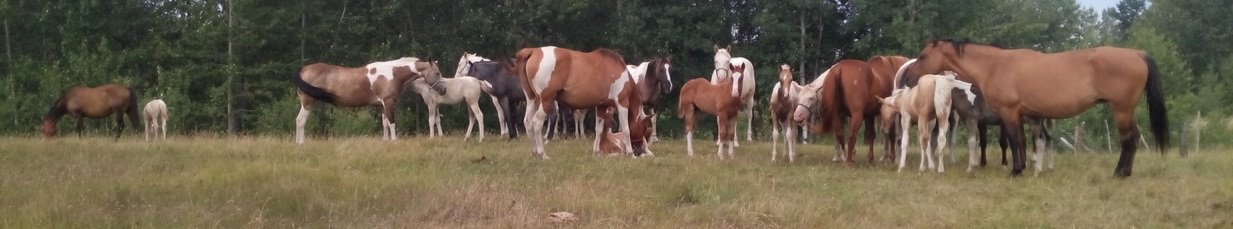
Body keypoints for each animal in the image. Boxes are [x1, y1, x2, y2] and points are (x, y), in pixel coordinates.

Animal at [290, 57, 446, 142]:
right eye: (437, 73)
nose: (444, 90)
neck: (392, 73)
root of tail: (303, 70)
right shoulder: (388, 102)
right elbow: (392, 123)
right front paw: (395, 141)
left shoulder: (382, 105)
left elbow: (385, 124)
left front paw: (386, 141)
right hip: (308, 103)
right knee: (301, 121)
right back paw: (301, 143)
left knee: (298, 120)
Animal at [512, 45, 646, 158]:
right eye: (643, 128)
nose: (640, 150)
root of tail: (533, 51)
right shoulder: (622, 103)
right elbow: (626, 129)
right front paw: (630, 154)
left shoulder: (601, 107)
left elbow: (598, 129)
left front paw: (596, 152)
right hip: (545, 100)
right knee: (536, 123)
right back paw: (542, 154)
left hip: (533, 100)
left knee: (528, 122)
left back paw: (535, 152)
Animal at [912, 38, 1168, 177]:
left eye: (923, 55)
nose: (910, 76)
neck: (995, 65)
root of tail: (1138, 54)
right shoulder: (1021, 115)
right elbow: (1023, 143)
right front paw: (1024, 167)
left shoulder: (1009, 113)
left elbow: (1015, 142)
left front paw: (1016, 170)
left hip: (1122, 109)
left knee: (1129, 140)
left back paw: (1119, 174)